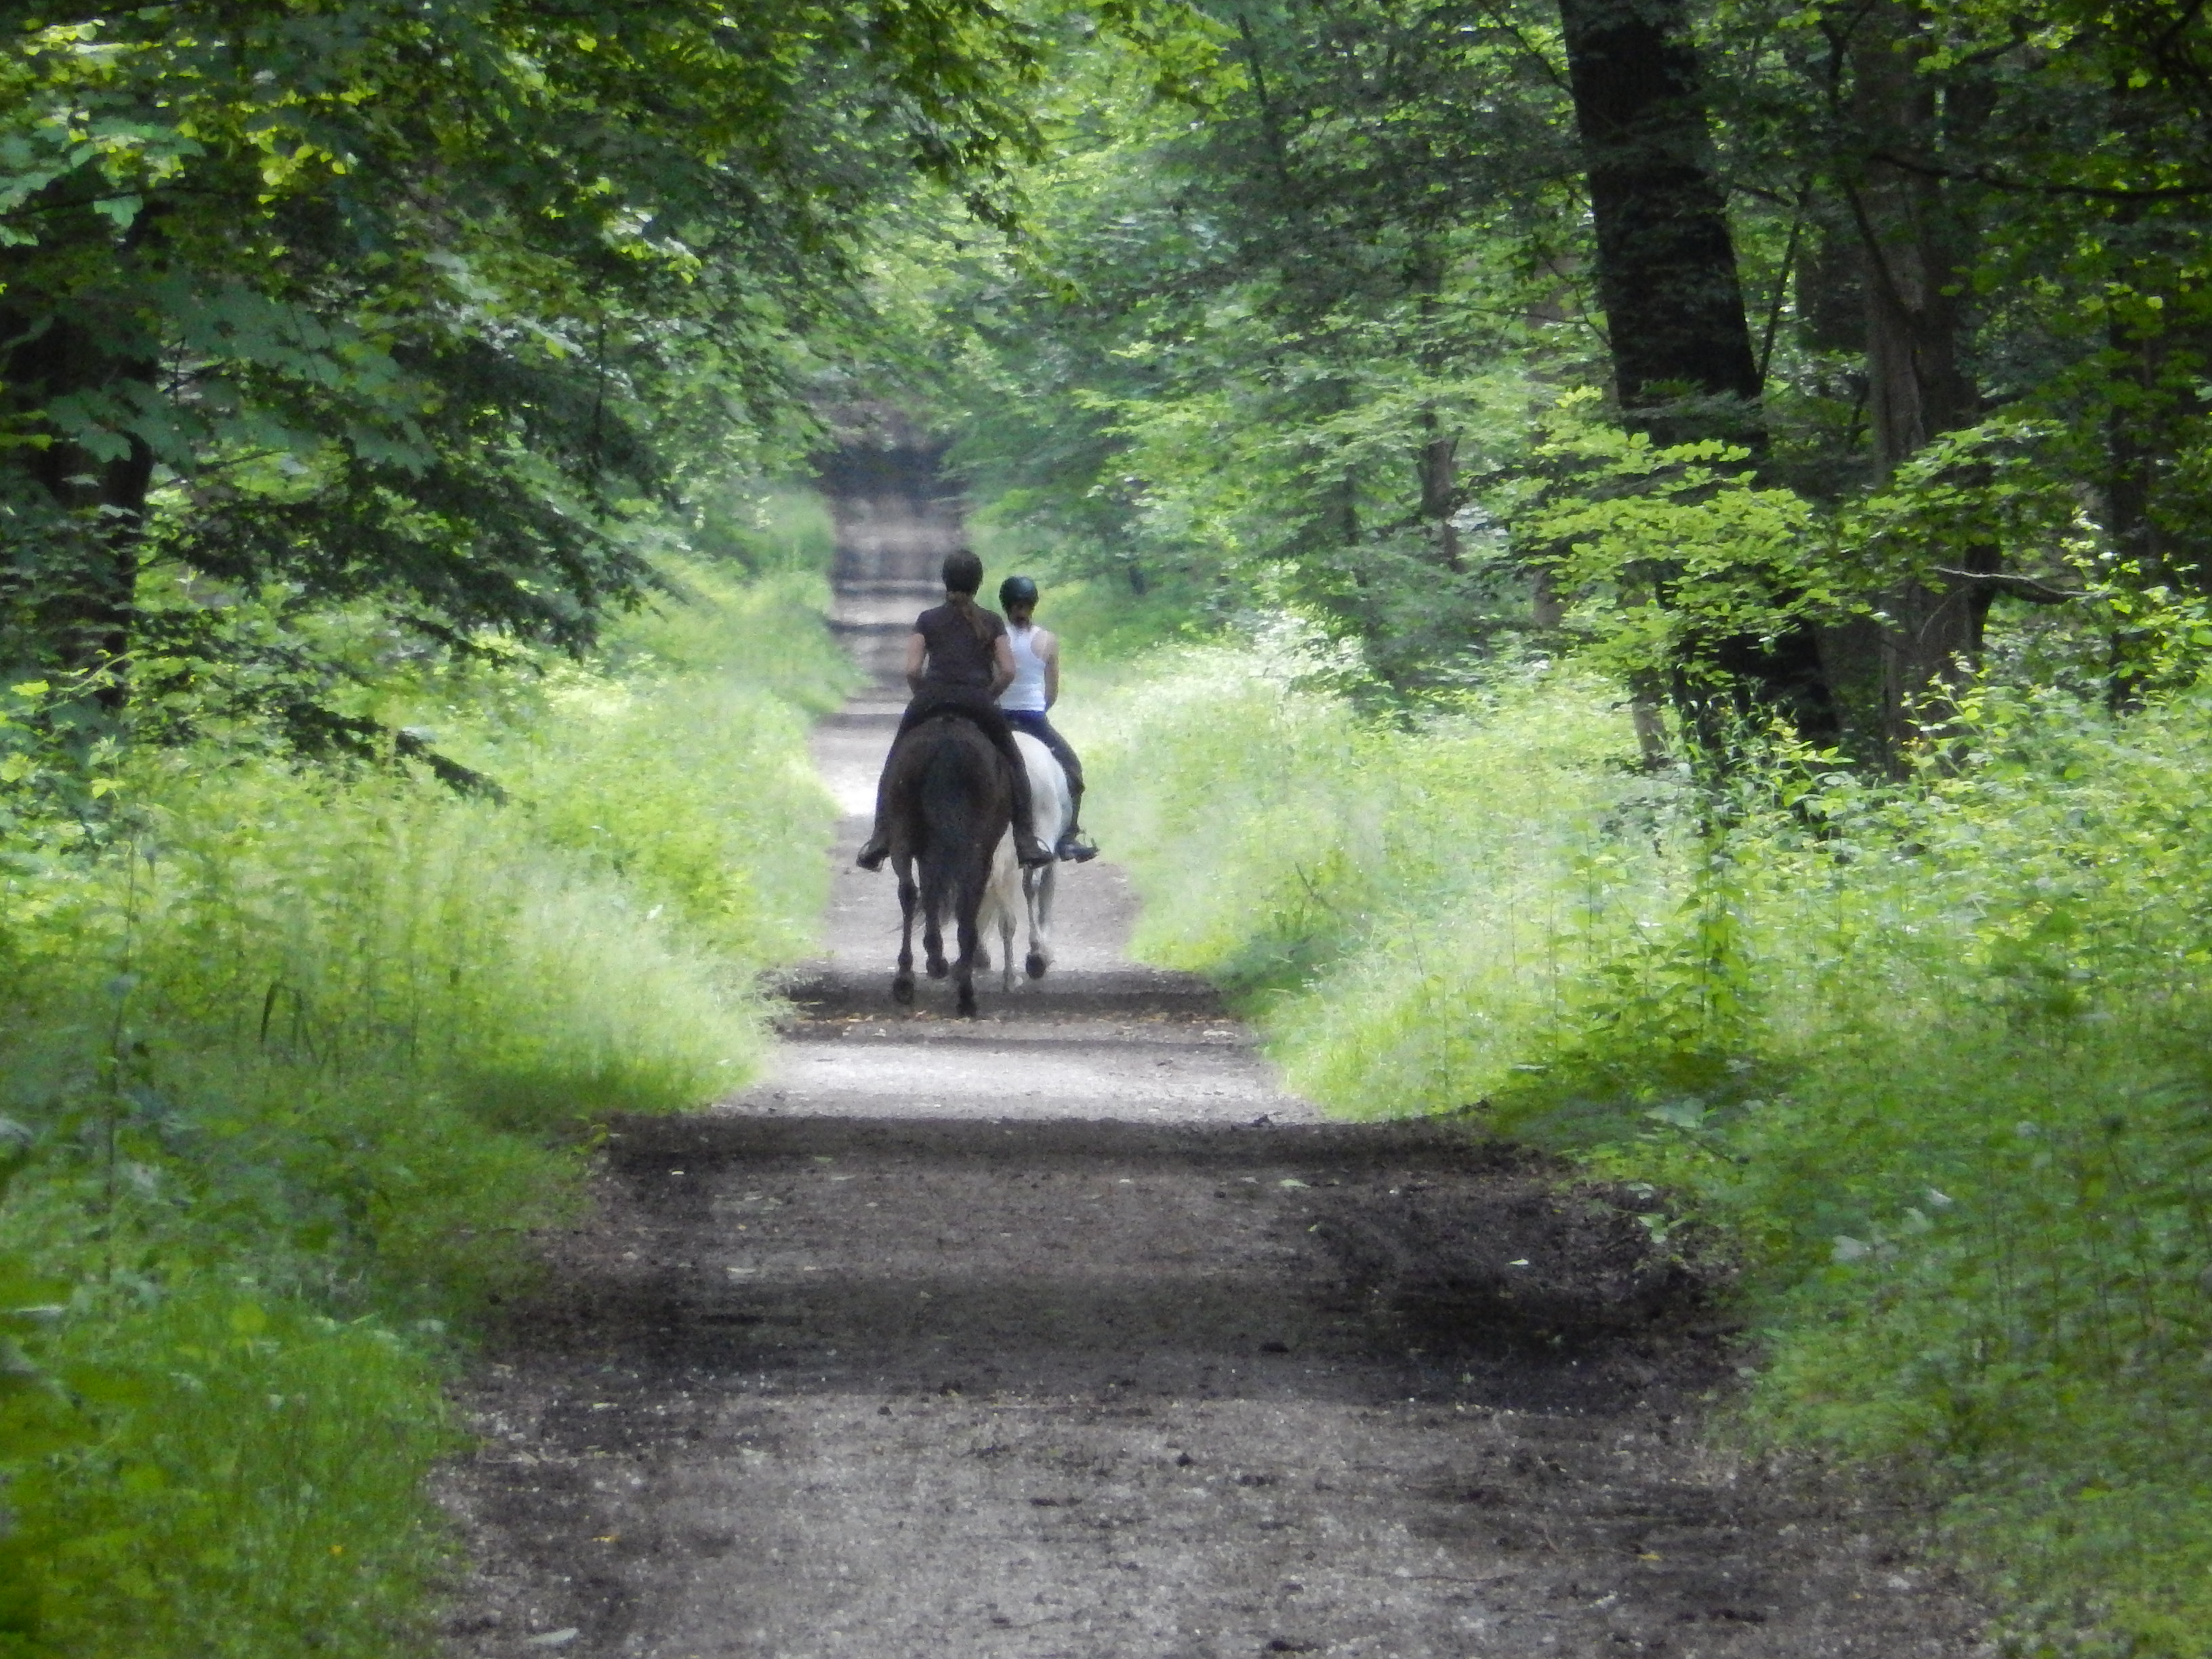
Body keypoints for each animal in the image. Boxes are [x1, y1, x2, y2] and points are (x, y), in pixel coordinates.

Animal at [884, 712, 1012, 1012]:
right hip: (976, 850)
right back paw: (965, 992)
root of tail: (948, 743)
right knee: (966, 901)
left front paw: (934, 958)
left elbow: (929, 893)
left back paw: (906, 979)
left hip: (904, 834)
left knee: (909, 892)